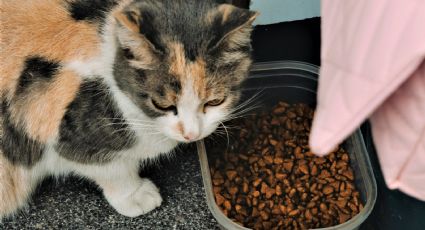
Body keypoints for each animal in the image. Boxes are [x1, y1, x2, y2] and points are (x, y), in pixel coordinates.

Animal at [0, 0, 256, 219]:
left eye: (215, 101)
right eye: (162, 105)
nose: (191, 134)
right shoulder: (49, 123)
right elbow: (112, 168)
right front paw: (136, 196)